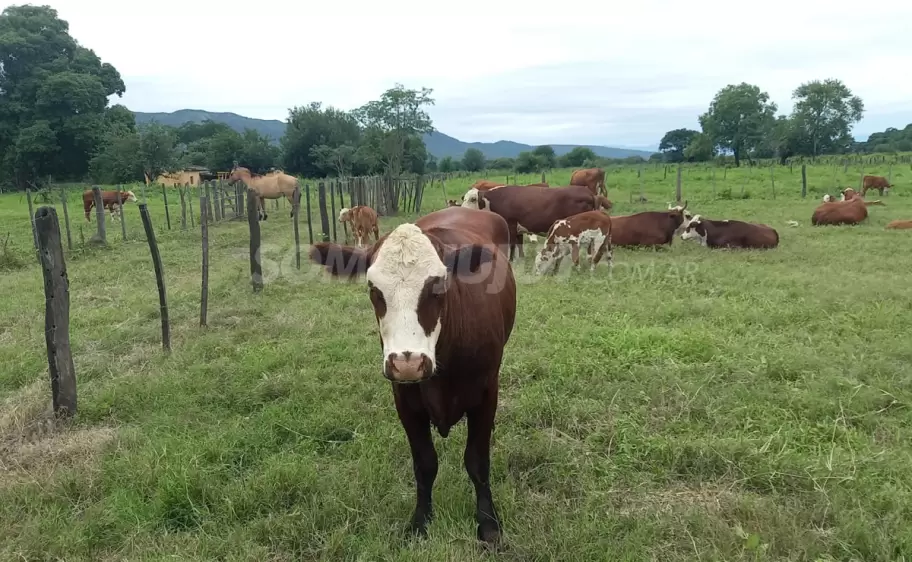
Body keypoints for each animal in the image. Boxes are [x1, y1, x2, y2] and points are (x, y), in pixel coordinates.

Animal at [308, 206, 516, 545]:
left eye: (438, 286)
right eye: (373, 289)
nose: (409, 363)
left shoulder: (487, 393)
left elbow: (477, 462)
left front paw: (488, 524)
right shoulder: (404, 400)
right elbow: (425, 463)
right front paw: (421, 521)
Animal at [461, 184, 613, 260]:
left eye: (473, 199)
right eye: (464, 198)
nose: (462, 210)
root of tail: (589, 192)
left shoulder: (510, 224)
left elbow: (512, 244)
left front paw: (511, 260)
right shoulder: (518, 227)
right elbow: (519, 243)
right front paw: (521, 258)